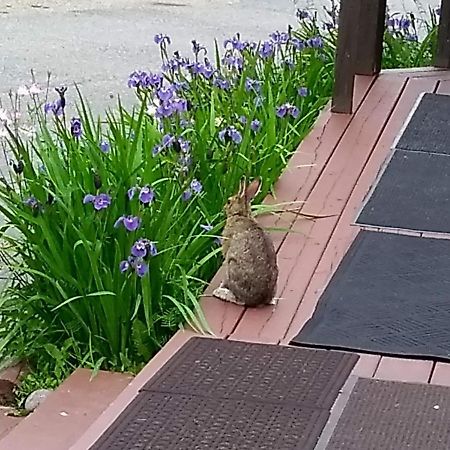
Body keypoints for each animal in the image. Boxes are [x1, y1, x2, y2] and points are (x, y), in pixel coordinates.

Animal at [212, 176, 278, 306]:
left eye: (229, 201)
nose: (224, 207)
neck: (241, 214)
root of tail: (259, 299)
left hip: (232, 265)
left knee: (240, 301)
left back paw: (220, 292)